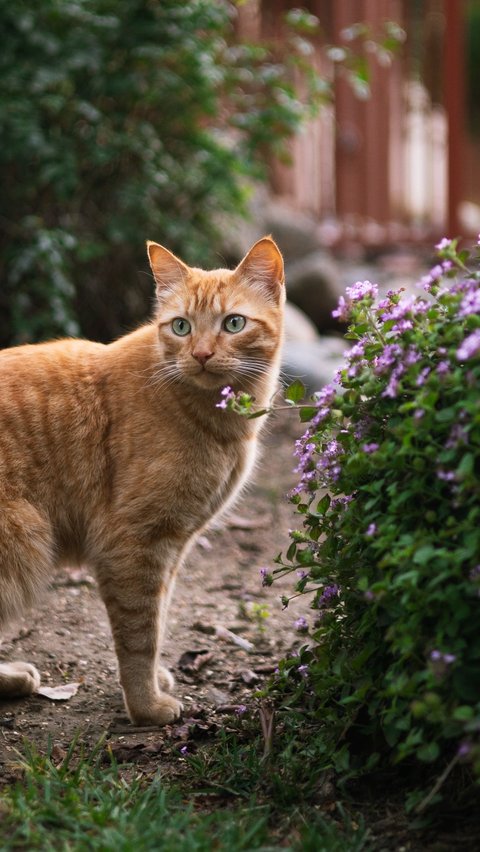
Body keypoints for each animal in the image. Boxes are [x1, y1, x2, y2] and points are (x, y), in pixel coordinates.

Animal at [0, 236, 284, 724]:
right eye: (181, 327)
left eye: (233, 323)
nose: (201, 354)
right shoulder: (133, 542)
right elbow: (139, 634)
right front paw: (146, 705)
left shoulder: (172, 544)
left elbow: (161, 616)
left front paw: (157, 681)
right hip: (21, 541)